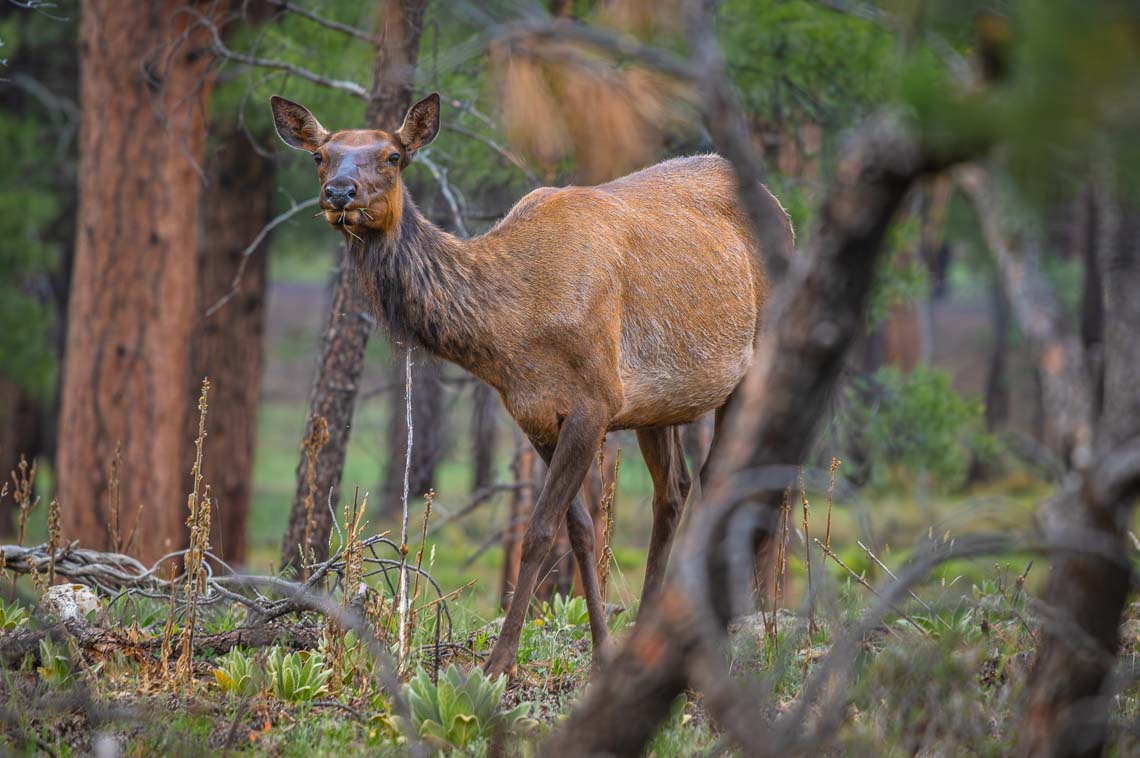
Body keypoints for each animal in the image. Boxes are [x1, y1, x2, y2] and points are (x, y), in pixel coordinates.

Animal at [272, 91, 798, 674]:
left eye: (392, 156)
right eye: (321, 155)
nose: (339, 192)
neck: (511, 329)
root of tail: (784, 212)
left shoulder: (595, 401)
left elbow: (540, 530)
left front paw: (498, 662)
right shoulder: (536, 413)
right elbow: (580, 529)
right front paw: (601, 650)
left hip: (753, 364)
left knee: (729, 485)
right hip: (656, 404)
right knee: (674, 492)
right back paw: (649, 625)